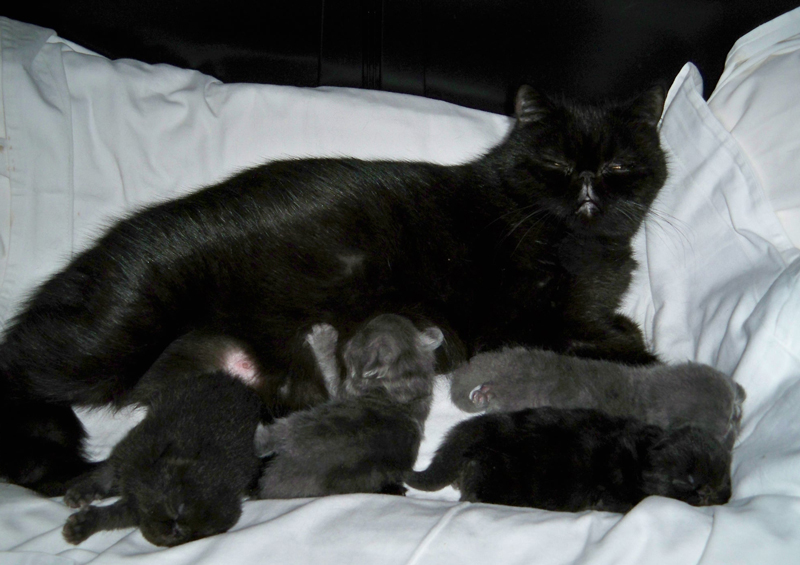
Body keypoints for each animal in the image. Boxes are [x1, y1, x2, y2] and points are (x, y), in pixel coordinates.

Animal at [255, 312, 444, 498]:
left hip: (301, 421)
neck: (403, 388)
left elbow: (331, 372)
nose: (346, 342)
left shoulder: (342, 393)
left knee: (271, 437)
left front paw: (323, 340)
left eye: (348, 350)